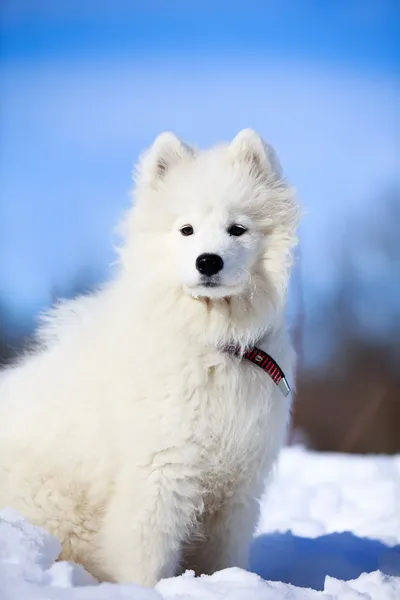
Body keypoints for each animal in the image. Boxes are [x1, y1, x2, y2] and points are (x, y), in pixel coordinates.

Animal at [0, 129, 300, 584]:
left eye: (237, 229)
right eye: (186, 230)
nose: (208, 261)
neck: (209, 342)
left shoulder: (236, 489)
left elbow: (222, 560)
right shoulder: (158, 477)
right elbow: (145, 559)